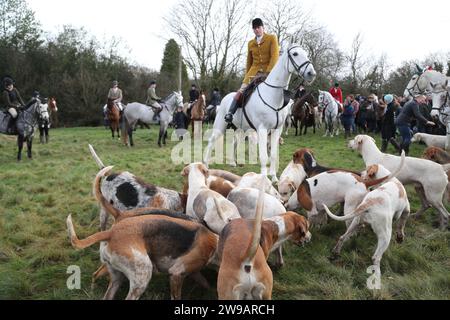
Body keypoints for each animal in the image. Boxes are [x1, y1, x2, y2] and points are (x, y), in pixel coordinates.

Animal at [204, 44, 316, 182]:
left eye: (306, 53)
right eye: (295, 54)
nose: (311, 73)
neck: (273, 96)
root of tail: (225, 98)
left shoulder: (276, 130)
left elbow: (273, 155)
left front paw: (274, 178)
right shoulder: (262, 129)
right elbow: (263, 156)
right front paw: (264, 179)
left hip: (239, 129)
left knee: (234, 143)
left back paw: (233, 162)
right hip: (220, 126)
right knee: (211, 141)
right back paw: (205, 164)